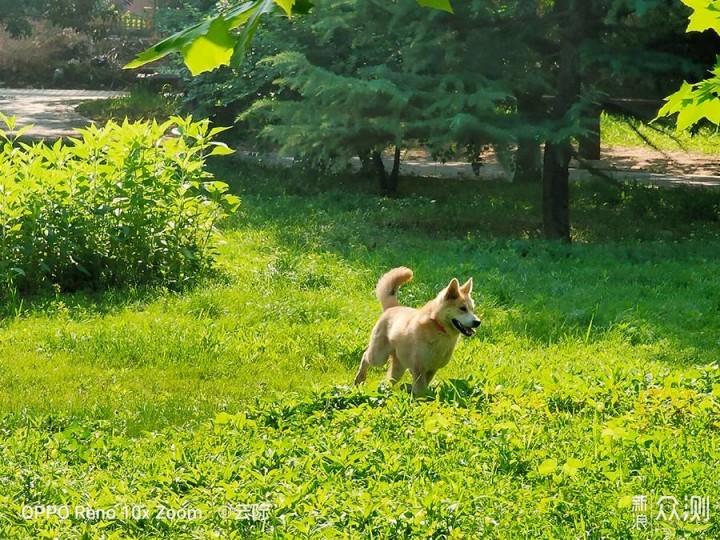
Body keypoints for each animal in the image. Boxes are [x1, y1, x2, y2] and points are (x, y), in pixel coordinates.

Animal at [352, 268, 480, 394]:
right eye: (462, 308)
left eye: (472, 309)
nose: (478, 322)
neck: (438, 328)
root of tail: (393, 307)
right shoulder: (419, 369)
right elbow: (420, 389)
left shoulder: (432, 370)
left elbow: (424, 386)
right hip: (379, 357)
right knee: (365, 357)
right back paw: (360, 379)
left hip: (398, 366)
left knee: (389, 380)